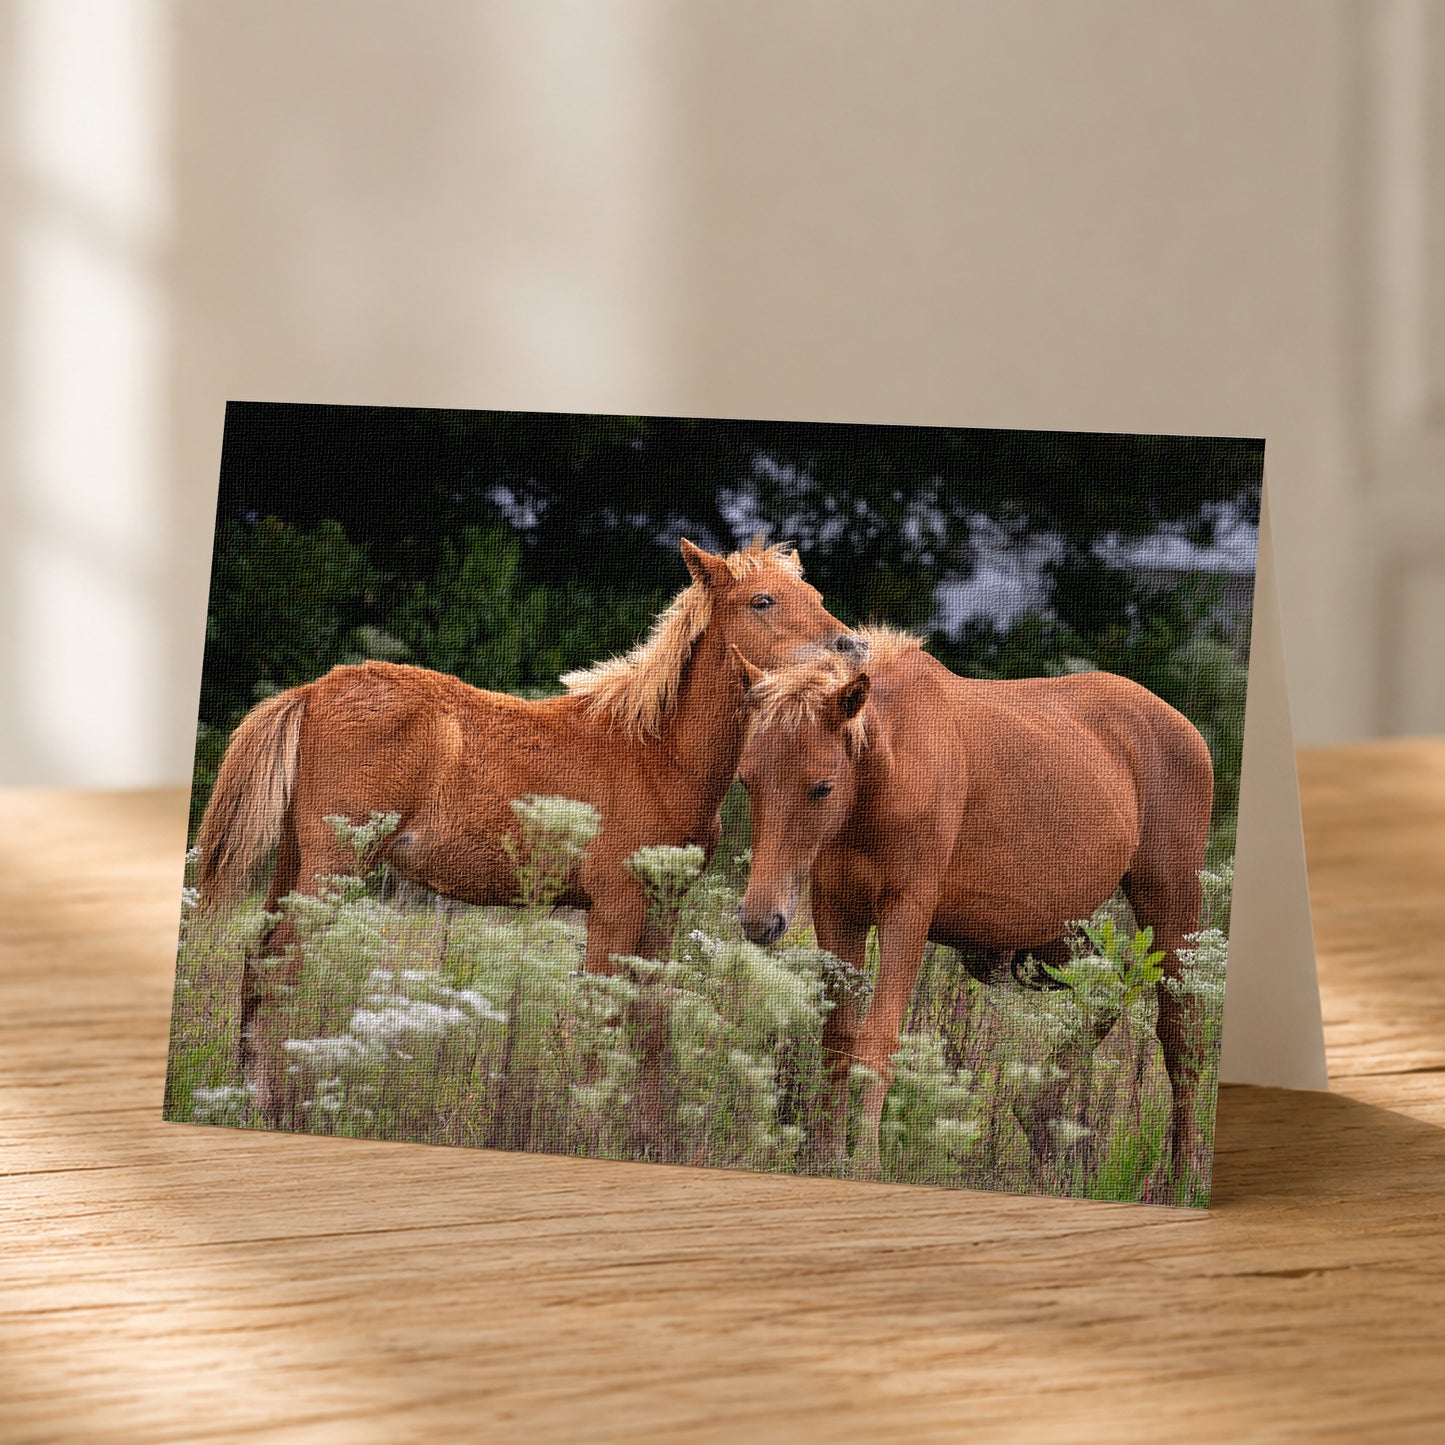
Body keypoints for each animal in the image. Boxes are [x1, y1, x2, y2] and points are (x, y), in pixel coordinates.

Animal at [195, 538, 865, 1121]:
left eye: (812, 591)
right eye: (762, 600)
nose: (852, 647)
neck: (658, 753)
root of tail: (313, 689)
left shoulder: (664, 908)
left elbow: (650, 1026)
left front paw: (645, 1134)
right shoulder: (615, 905)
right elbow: (601, 1021)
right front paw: (587, 1129)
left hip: (294, 862)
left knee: (259, 963)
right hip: (334, 866)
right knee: (281, 967)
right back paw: (267, 1104)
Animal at [733, 625, 1215, 1195]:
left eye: (822, 787)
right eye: (746, 780)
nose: (760, 920)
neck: (886, 772)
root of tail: (1186, 729)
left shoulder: (906, 913)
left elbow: (877, 1038)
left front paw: (865, 1163)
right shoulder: (836, 911)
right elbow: (838, 1035)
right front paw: (822, 1155)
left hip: (1169, 906)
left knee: (1179, 1035)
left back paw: (1181, 1173)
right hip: (1057, 930)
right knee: (1106, 992)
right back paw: (1040, 1124)